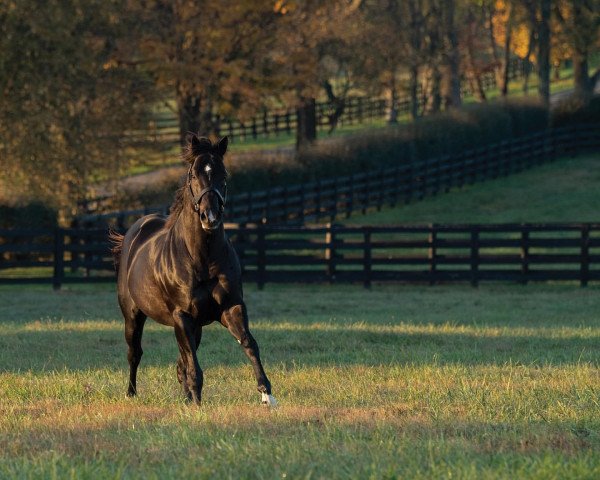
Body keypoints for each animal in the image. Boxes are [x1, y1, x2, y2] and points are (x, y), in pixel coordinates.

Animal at [109, 134, 276, 404]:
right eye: (193, 175)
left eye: (223, 174)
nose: (210, 217)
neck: (202, 258)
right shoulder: (182, 316)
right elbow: (193, 366)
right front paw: (198, 403)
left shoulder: (230, 308)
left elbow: (249, 343)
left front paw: (267, 395)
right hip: (134, 316)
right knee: (135, 353)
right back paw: (131, 393)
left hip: (194, 326)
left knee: (180, 363)